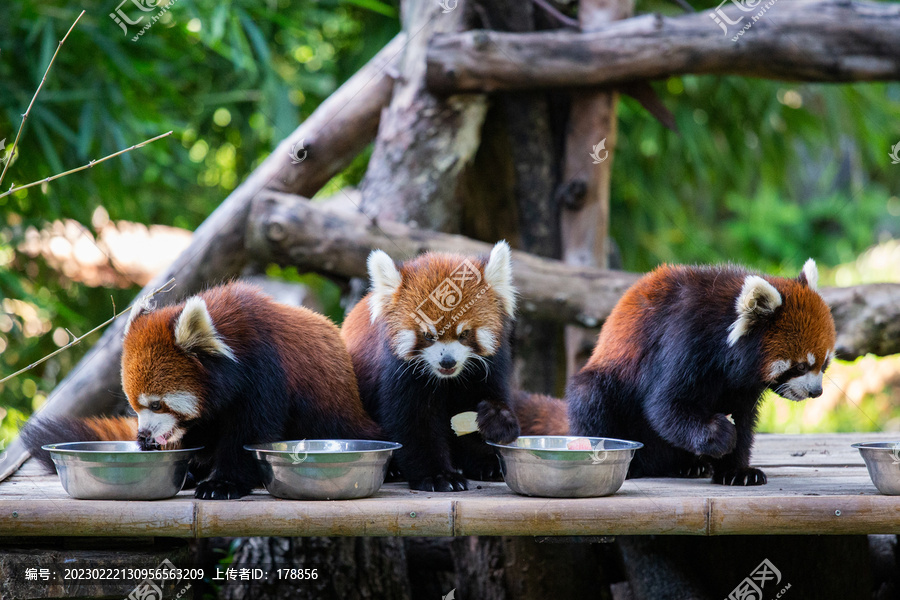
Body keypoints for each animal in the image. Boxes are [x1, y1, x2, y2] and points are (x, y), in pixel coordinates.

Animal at [21, 284, 380, 500]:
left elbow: (249, 432)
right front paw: (186, 463)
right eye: (136, 408)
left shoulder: (265, 374)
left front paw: (223, 483)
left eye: (157, 404)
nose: (144, 436)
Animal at [340, 241, 520, 490]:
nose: (447, 361)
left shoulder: (490, 366)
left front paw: (494, 430)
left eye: (464, 334)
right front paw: (438, 476)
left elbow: (484, 402)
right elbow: (414, 424)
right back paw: (393, 471)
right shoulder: (399, 373)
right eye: (428, 335)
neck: (447, 379)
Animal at [568, 260, 836, 486]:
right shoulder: (684, 338)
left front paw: (737, 471)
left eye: (824, 364)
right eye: (801, 366)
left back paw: (689, 466)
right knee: (591, 397)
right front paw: (720, 434)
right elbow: (664, 406)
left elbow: (744, 420)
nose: (816, 392)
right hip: (603, 385)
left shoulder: (742, 385)